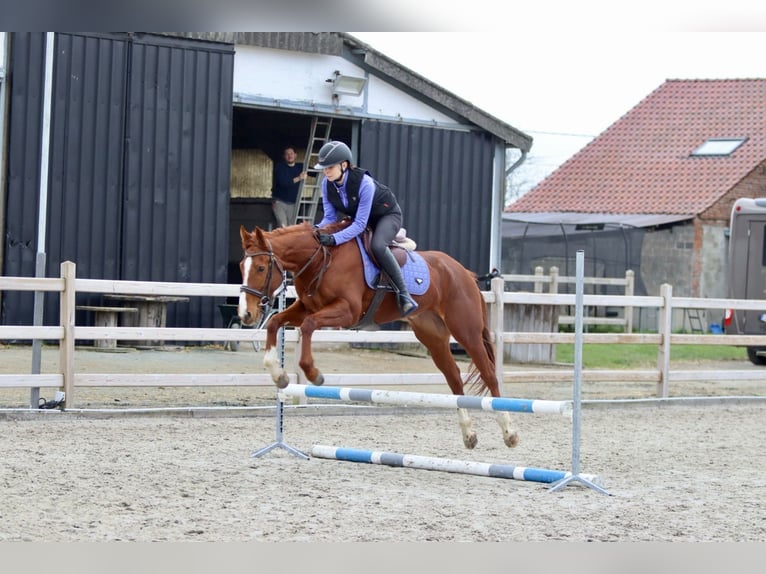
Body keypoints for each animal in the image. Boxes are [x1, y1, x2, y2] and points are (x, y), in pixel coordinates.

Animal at [237, 223, 520, 452]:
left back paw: (509, 432)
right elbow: (275, 323)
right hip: (433, 336)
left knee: (489, 374)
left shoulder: (346, 311)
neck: (321, 259)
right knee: (454, 378)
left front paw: (313, 373)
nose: (246, 314)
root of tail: (464, 273)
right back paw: (469, 434)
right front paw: (278, 374)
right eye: (242, 266)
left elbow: (308, 326)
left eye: (261, 267)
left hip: (466, 331)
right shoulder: (305, 308)